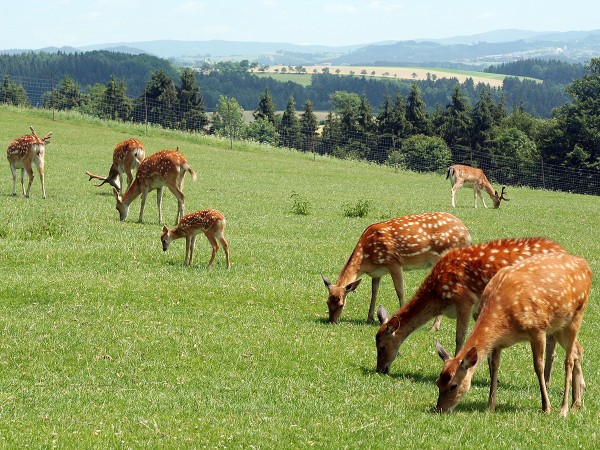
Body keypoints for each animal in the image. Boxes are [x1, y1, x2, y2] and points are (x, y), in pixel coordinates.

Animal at [322, 211, 472, 324]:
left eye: (341, 304)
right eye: (327, 302)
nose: (332, 321)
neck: (366, 259)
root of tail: (467, 234)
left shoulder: (394, 262)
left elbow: (400, 291)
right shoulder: (377, 272)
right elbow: (374, 291)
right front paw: (369, 318)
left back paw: (434, 327)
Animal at [378, 237, 564, 374]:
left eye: (381, 346)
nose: (380, 369)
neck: (439, 296)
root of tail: (563, 251)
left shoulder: (464, 300)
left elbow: (460, 337)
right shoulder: (476, 309)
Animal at [436, 251, 592, 416]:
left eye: (453, 385)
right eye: (438, 382)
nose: (439, 409)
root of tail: (585, 265)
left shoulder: (537, 329)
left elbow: (538, 367)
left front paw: (546, 407)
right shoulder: (498, 343)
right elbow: (495, 366)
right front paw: (490, 406)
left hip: (575, 317)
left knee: (568, 360)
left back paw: (564, 408)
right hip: (558, 326)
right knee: (577, 350)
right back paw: (576, 403)